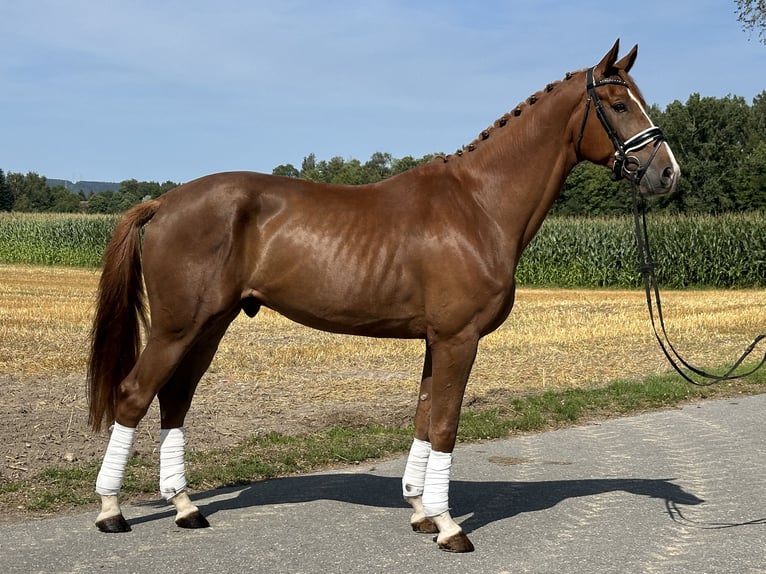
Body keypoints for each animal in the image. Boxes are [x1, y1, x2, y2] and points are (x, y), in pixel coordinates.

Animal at [87, 40, 680, 552]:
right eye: (618, 104)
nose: (668, 173)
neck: (478, 205)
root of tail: (165, 202)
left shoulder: (436, 341)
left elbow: (423, 418)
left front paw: (421, 512)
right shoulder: (459, 339)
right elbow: (444, 427)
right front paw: (449, 527)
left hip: (210, 325)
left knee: (175, 400)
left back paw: (185, 507)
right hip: (176, 328)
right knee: (134, 395)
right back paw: (112, 512)